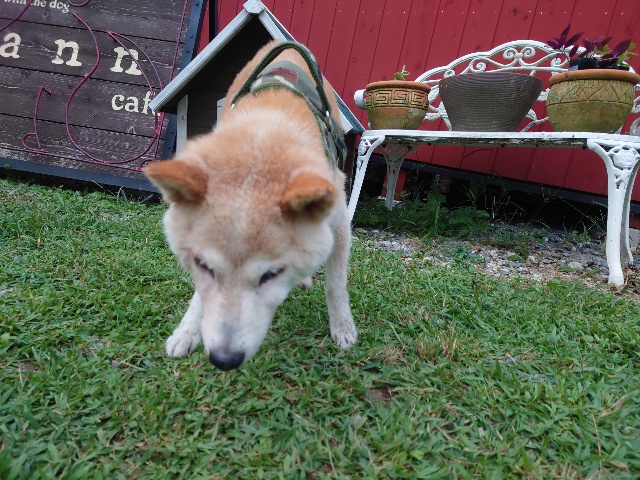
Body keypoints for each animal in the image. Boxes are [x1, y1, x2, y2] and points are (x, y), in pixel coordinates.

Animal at [143, 41, 358, 370]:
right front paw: (187, 331)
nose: (224, 359)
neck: (266, 131)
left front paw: (343, 328)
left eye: (272, 275)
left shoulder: (341, 223)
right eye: (203, 265)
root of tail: (280, 46)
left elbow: (336, 285)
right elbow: (202, 294)